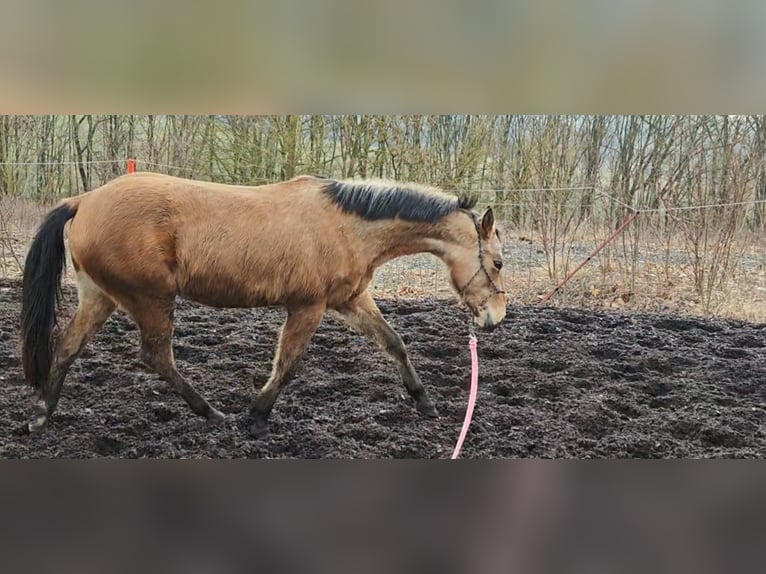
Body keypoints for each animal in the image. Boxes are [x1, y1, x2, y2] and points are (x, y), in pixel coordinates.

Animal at [20, 172, 507, 438]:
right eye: (499, 262)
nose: (495, 318)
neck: (348, 226)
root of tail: (84, 200)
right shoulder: (307, 306)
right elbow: (287, 365)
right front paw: (255, 416)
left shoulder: (351, 301)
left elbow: (394, 344)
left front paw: (424, 402)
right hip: (149, 299)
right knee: (156, 355)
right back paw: (211, 413)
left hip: (100, 297)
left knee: (67, 346)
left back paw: (42, 416)